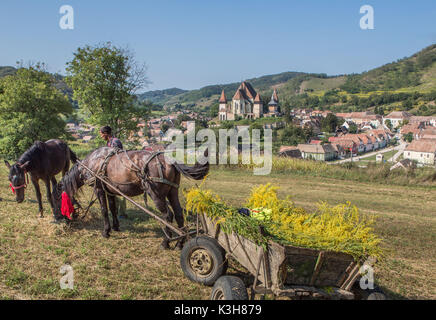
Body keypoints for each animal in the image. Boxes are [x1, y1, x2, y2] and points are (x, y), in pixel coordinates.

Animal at [52, 146, 209, 246]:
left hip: (156, 195)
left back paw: (166, 242)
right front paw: (115, 227)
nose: (59, 218)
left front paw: (106, 231)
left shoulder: (99, 189)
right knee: (178, 213)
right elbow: (113, 209)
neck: (91, 163)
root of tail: (169, 161)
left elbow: (104, 210)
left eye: (57, 199)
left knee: (168, 215)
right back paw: (181, 242)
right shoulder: (110, 191)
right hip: (172, 192)